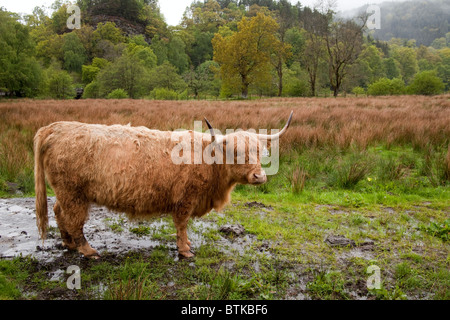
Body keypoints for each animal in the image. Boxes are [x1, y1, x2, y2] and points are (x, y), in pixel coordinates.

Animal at [33, 112, 294, 258]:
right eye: (235, 152)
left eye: (260, 152)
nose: (259, 177)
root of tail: (53, 127)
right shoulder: (186, 198)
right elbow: (181, 224)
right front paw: (185, 250)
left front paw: (186, 244)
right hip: (73, 192)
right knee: (74, 219)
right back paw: (87, 251)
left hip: (66, 192)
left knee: (59, 211)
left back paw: (68, 244)